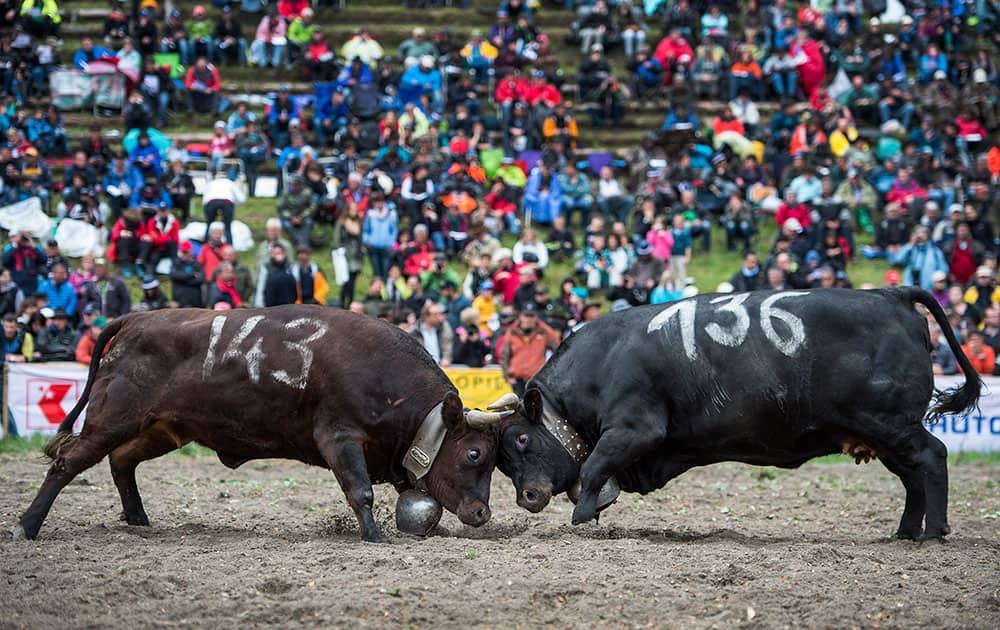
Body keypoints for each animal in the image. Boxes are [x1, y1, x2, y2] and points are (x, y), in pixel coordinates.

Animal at [19, 306, 512, 544]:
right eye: (474, 454)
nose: (482, 513)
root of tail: (136, 318)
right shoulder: (338, 437)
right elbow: (360, 492)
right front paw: (373, 537)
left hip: (164, 427)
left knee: (121, 460)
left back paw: (138, 519)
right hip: (111, 417)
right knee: (67, 463)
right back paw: (28, 525)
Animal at [488, 288, 980, 540]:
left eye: (521, 440)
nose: (526, 497)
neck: (602, 362)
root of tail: (890, 294)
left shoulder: (634, 428)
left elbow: (591, 469)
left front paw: (583, 519)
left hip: (893, 424)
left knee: (932, 459)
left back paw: (933, 532)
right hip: (883, 432)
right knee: (913, 476)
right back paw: (906, 531)